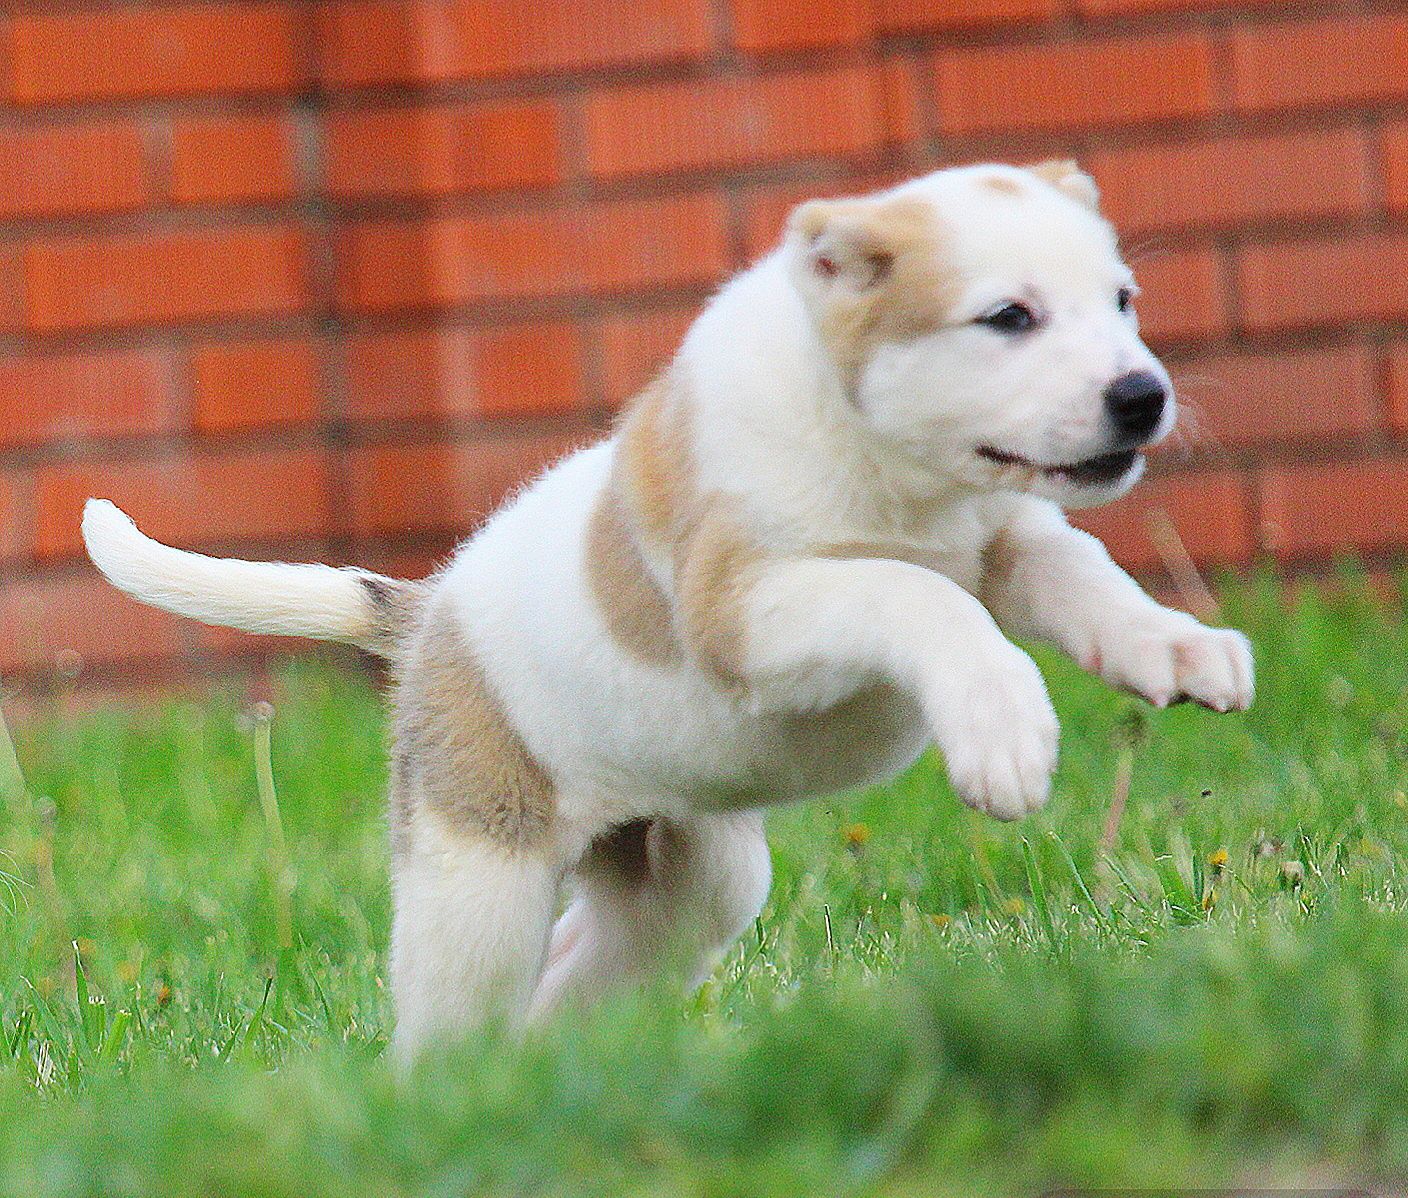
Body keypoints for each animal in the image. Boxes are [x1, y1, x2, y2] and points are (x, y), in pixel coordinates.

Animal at [85, 159, 1255, 1058]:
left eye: (1123, 301)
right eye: (1007, 317)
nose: (1142, 396)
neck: (890, 461)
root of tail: (429, 614)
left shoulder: (1009, 537)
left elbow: (1079, 571)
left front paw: (1178, 648)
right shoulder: (752, 606)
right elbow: (911, 590)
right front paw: (1004, 733)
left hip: (689, 879)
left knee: (583, 965)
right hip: (480, 887)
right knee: (455, 1027)